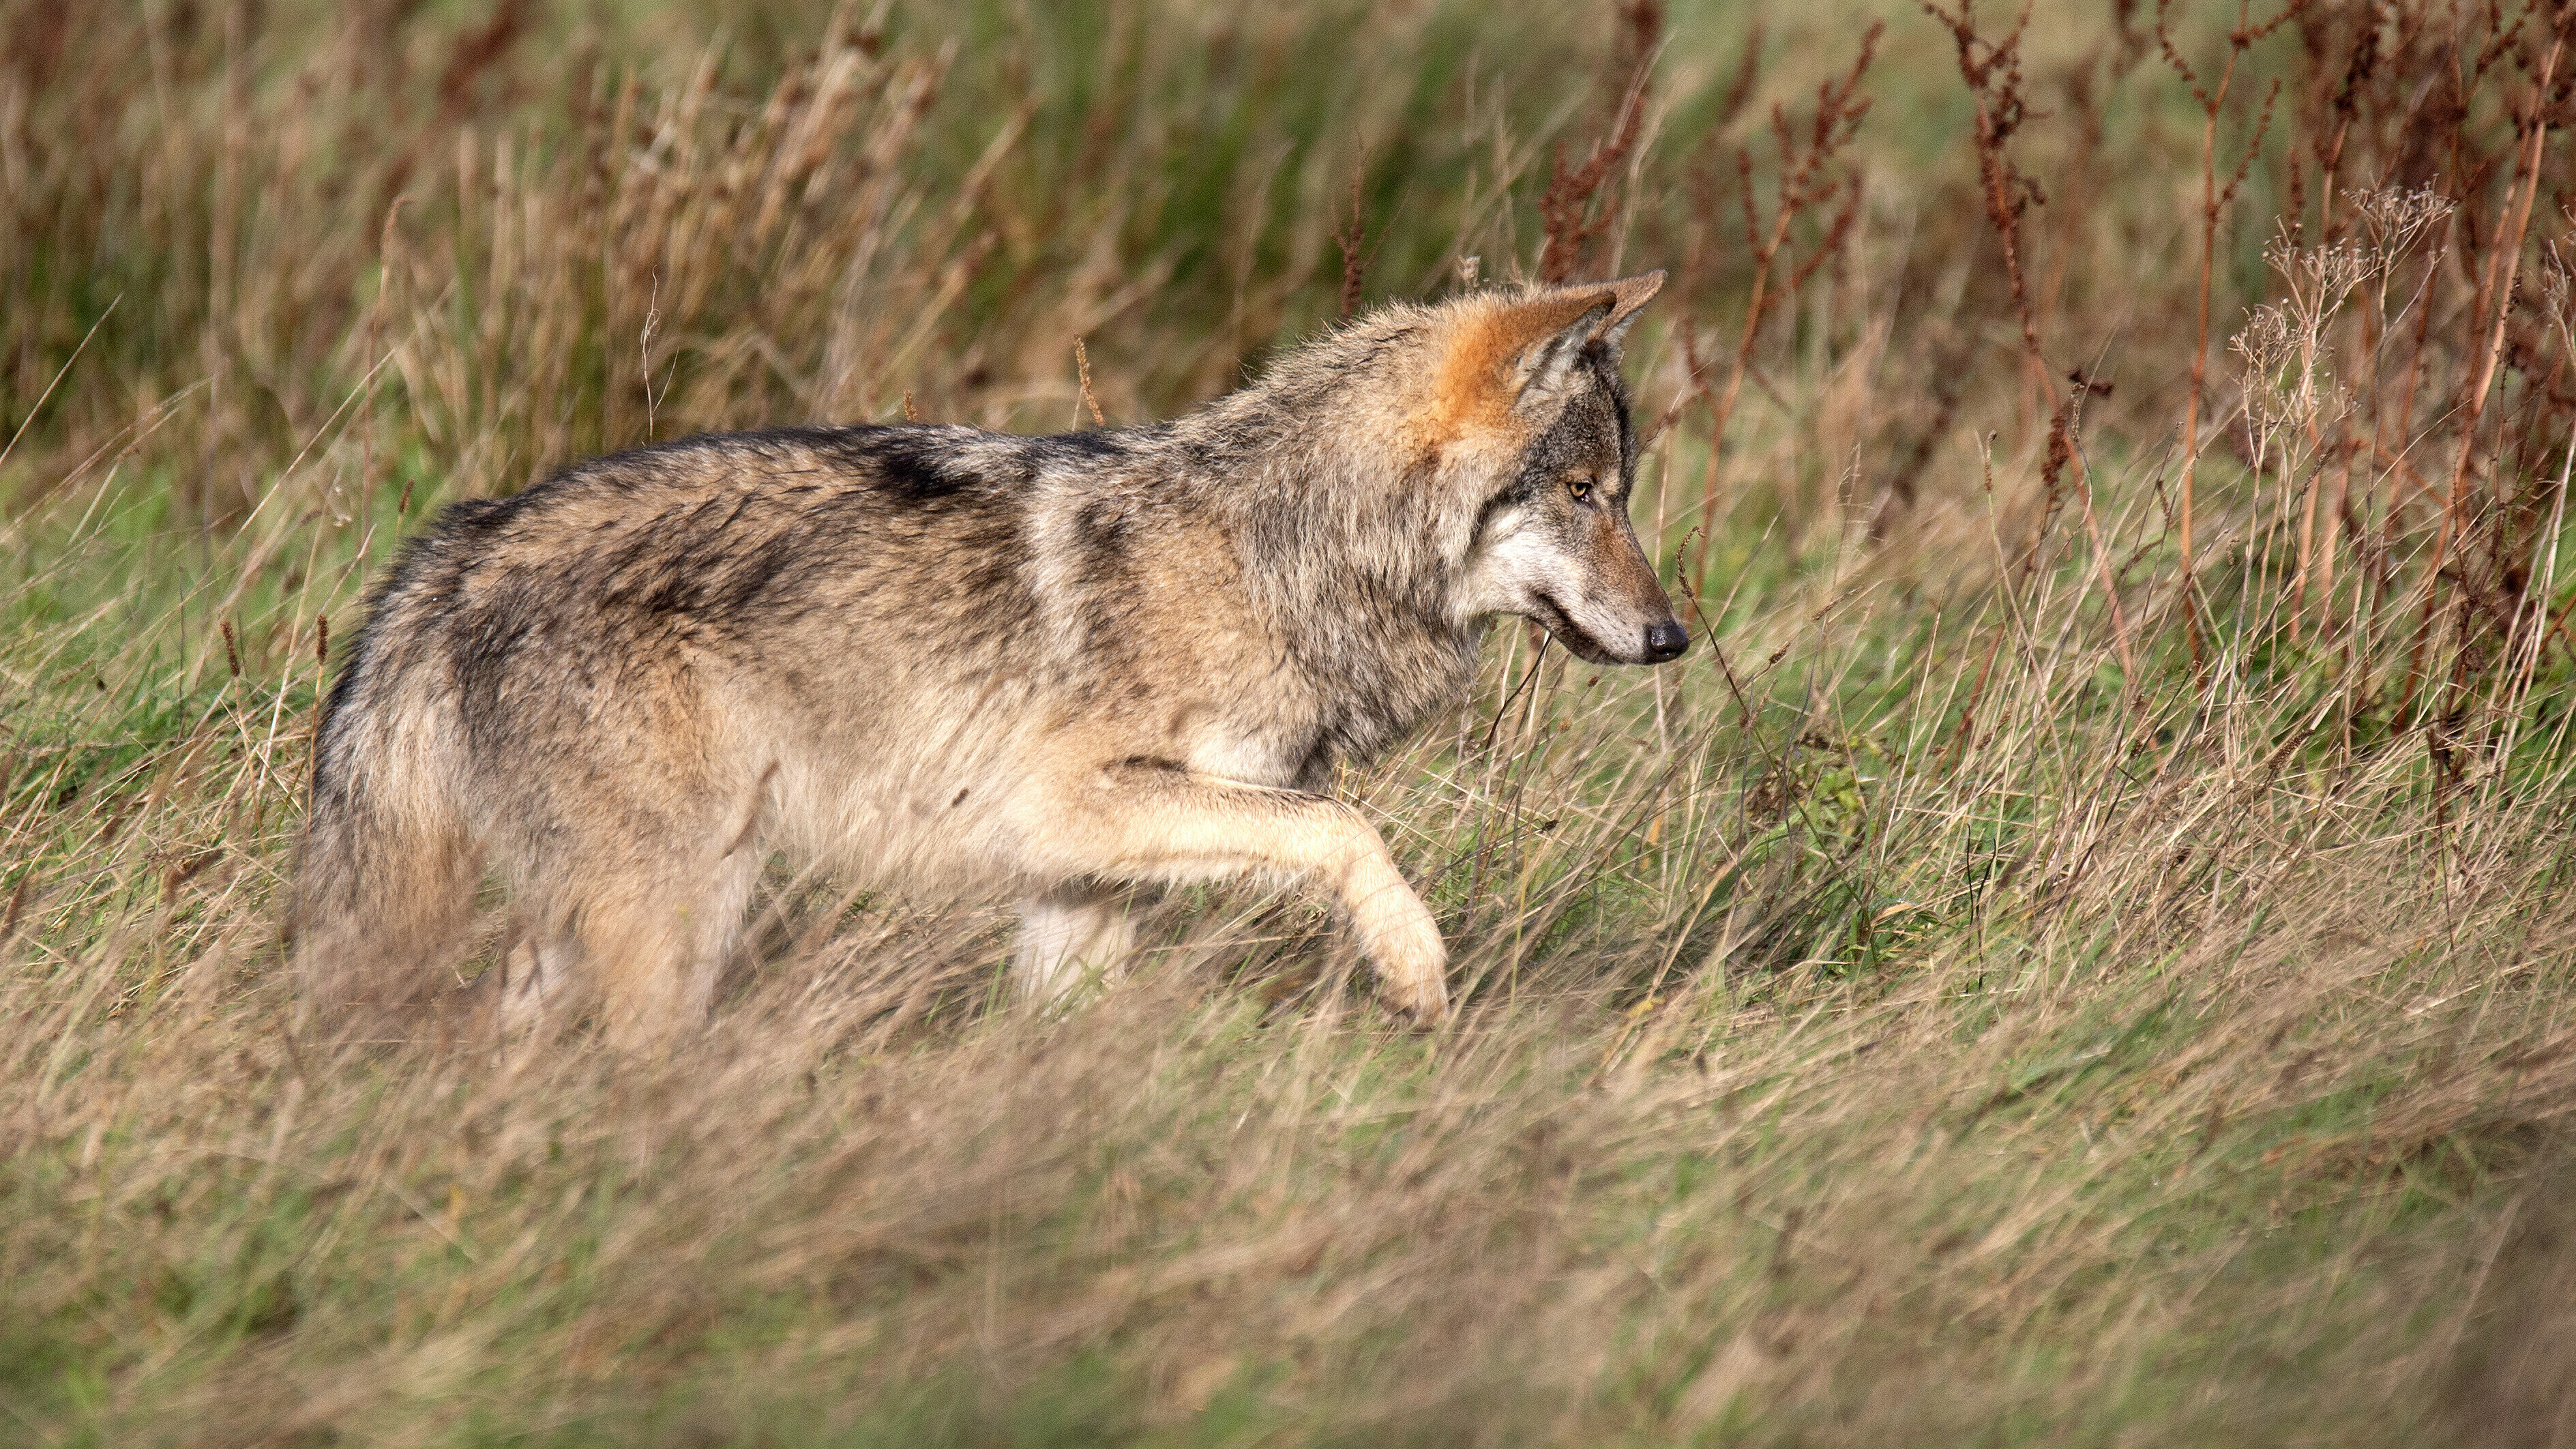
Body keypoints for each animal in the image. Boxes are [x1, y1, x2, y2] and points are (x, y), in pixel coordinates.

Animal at [295, 272, 1686, 1047]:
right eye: (1580, 493)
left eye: (1620, 492)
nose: (1674, 637)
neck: (1275, 555)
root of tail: (462, 543)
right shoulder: (1082, 805)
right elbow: (1348, 831)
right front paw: (1412, 967)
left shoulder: (1080, 881)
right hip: (682, 905)